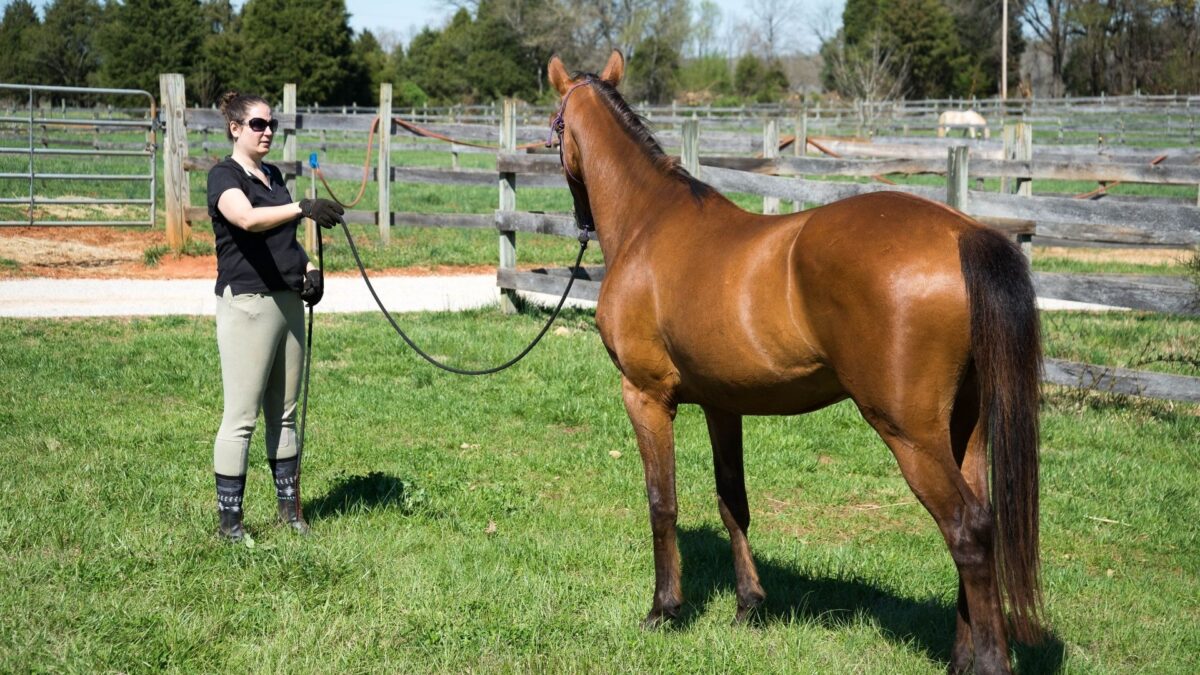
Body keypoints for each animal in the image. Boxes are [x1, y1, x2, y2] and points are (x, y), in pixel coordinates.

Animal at [546, 52, 1043, 674]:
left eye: (555, 127)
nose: (580, 218)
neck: (649, 222)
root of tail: (962, 232)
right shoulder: (721, 405)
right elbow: (732, 502)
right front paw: (748, 605)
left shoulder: (645, 395)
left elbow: (662, 503)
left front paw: (664, 610)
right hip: (965, 428)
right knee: (983, 523)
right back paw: (961, 658)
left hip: (911, 433)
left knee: (967, 530)